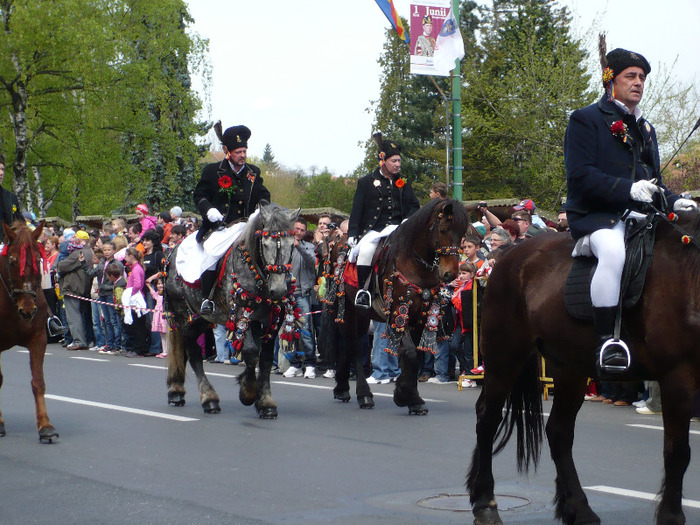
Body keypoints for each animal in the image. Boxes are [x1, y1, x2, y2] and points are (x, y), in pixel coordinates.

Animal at [0, 220, 58, 442]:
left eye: (39, 260)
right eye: (12, 261)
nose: (27, 310)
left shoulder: (38, 339)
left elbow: (38, 382)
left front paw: (45, 426)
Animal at [166, 201, 298, 418]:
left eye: (292, 245)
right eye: (265, 244)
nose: (278, 290)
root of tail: (172, 251)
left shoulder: (272, 320)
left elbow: (265, 358)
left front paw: (265, 402)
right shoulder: (241, 315)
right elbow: (251, 353)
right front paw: (248, 392)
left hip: (202, 319)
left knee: (189, 347)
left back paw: (180, 391)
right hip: (184, 315)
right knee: (193, 351)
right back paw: (206, 398)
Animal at [326, 199, 470, 416]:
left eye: (462, 234)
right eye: (443, 230)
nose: (450, 274)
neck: (414, 262)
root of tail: (339, 241)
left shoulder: (422, 315)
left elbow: (415, 354)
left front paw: (411, 396)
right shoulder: (398, 314)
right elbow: (409, 353)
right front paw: (406, 395)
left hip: (362, 314)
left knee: (351, 343)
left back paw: (343, 387)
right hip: (348, 309)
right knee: (353, 345)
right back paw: (363, 395)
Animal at [468, 208, 700, 524]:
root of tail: (510, 256)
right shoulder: (678, 376)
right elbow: (677, 452)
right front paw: (671, 517)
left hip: (570, 369)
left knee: (558, 431)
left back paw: (578, 509)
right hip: (504, 358)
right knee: (488, 418)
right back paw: (485, 503)